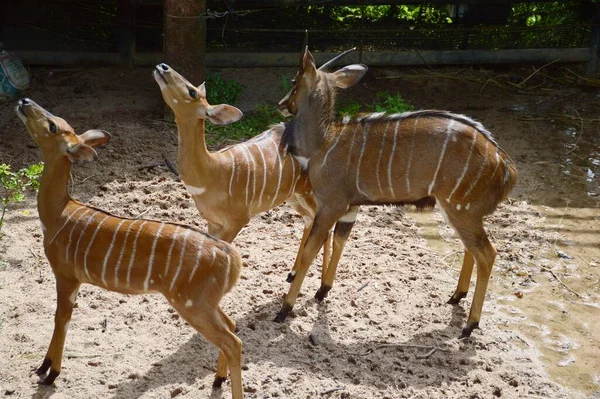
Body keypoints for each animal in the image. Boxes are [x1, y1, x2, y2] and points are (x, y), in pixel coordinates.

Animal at [17, 97, 245, 399]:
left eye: (53, 125)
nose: (24, 101)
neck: (58, 213)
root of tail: (230, 256)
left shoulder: (66, 276)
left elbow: (61, 319)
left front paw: (50, 373)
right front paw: (44, 367)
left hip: (193, 305)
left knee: (233, 341)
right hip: (208, 303)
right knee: (231, 325)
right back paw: (217, 380)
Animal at [154, 61, 360, 284]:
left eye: (192, 91)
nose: (163, 66)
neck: (212, 171)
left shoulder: (238, 219)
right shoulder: (213, 222)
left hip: (310, 193)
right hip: (293, 196)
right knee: (309, 219)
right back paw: (292, 274)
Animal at [274, 44, 516, 338]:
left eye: (294, 82)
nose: (281, 105)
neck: (323, 142)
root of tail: (505, 166)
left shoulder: (331, 204)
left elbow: (311, 249)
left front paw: (284, 309)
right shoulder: (350, 207)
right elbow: (341, 241)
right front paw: (322, 291)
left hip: (461, 210)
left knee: (487, 253)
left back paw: (470, 324)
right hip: (460, 212)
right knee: (472, 248)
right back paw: (456, 296)